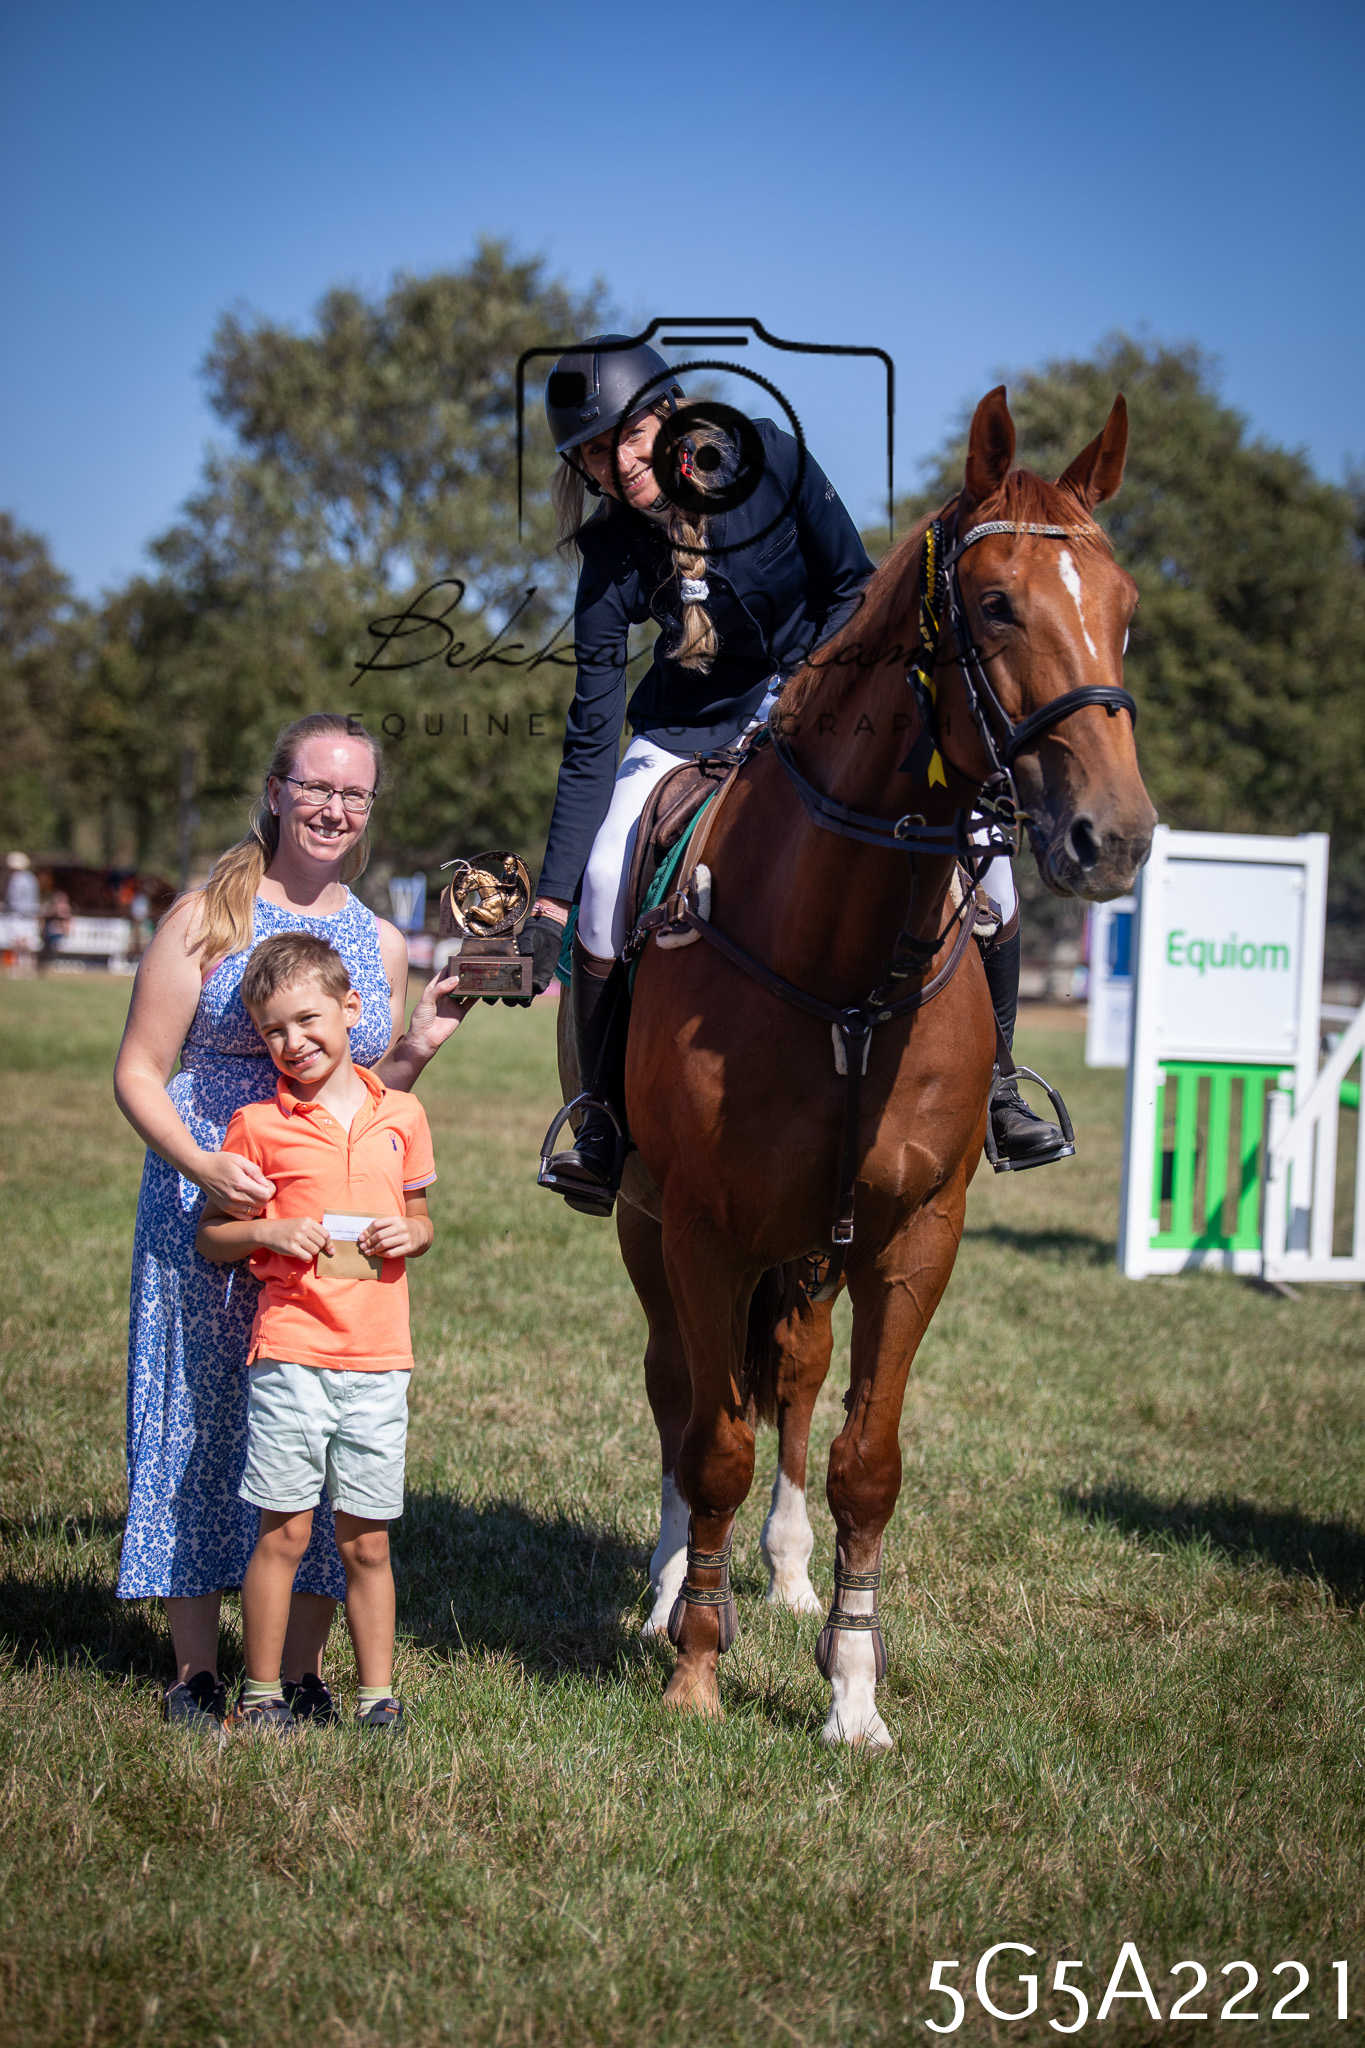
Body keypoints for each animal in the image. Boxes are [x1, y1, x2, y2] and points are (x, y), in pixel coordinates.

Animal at [556, 386, 1156, 1746]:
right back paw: (673, 1587)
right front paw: (696, 1667)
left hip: (812, 1249)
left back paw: (782, 1574)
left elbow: (863, 1459)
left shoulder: (913, 1234)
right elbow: (710, 1441)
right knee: (682, 1392)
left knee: (790, 1374)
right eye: (996, 604)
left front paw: (852, 1689)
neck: (840, 964)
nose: (1116, 837)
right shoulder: (705, 1228)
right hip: (647, 1223)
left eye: (1126, 605)